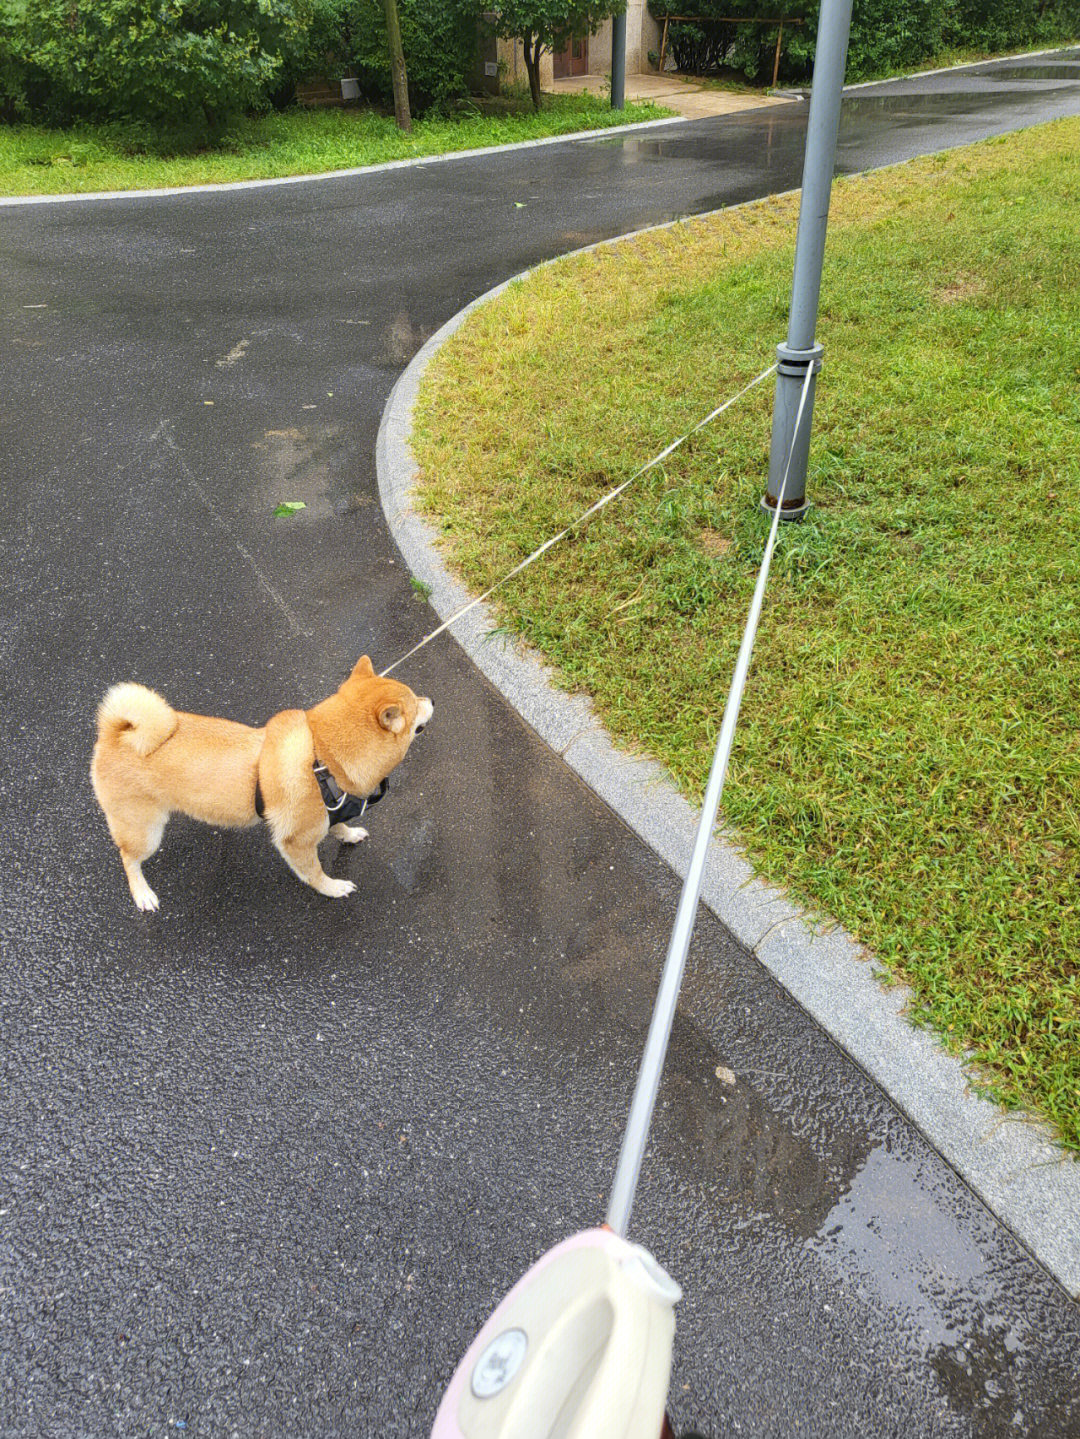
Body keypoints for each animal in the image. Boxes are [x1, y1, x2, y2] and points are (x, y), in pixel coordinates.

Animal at [88, 659, 434, 909]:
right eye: (416, 701)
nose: (431, 698)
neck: (322, 757)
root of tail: (115, 734)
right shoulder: (296, 842)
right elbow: (315, 873)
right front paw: (332, 888)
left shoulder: (331, 811)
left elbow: (338, 826)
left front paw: (348, 834)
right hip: (144, 832)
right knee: (128, 859)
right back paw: (142, 893)